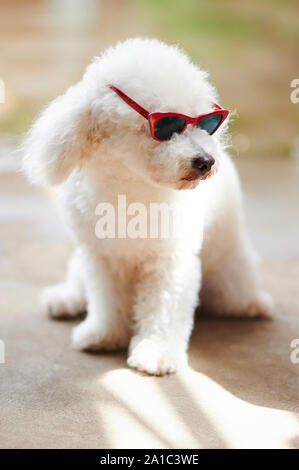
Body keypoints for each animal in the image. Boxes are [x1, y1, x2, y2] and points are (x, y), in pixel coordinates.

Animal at [22, 37, 274, 374]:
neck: (131, 187)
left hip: (229, 272)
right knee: (78, 283)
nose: (206, 161)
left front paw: (156, 352)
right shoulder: (102, 258)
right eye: (166, 126)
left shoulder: (169, 261)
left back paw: (253, 304)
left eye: (205, 124)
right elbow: (106, 301)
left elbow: (163, 308)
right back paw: (66, 299)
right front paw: (104, 334)